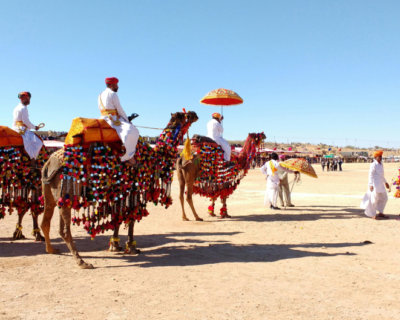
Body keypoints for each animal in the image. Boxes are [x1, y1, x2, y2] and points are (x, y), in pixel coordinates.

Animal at [39, 110, 198, 268]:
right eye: (184, 115)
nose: (195, 114)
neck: (149, 157)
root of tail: (49, 163)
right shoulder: (133, 187)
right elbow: (131, 216)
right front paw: (131, 247)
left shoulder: (119, 189)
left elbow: (118, 216)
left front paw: (115, 245)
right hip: (66, 190)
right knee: (64, 229)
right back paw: (82, 261)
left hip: (50, 191)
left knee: (46, 221)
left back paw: (51, 249)